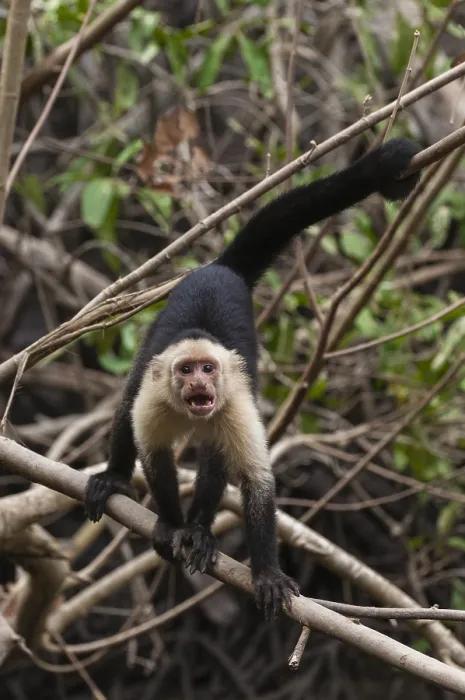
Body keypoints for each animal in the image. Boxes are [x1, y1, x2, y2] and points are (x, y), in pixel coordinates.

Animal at [84, 137, 421, 620]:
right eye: (185, 370)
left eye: (208, 368)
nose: (197, 384)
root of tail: (220, 268)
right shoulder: (156, 398)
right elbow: (154, 453)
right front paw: (168, 523)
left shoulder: (235, 404)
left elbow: (257, 481)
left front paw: (264, 572)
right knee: (128, 401)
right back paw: (115, 480)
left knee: (215, 453)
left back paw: (201, 531)